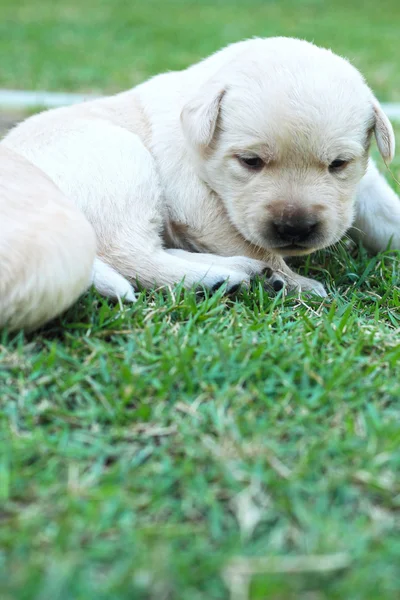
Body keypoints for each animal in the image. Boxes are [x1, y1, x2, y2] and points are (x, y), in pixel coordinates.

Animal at [1, 36, 398, 328]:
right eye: (250, 161)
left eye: (338, 164)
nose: (295, 229)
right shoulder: (197, 203)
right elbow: (250, 242)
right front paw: (297, 283)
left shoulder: (366, 187)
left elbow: (387, 214)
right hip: (120, 163)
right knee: (129, 252)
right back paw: (228, 277)